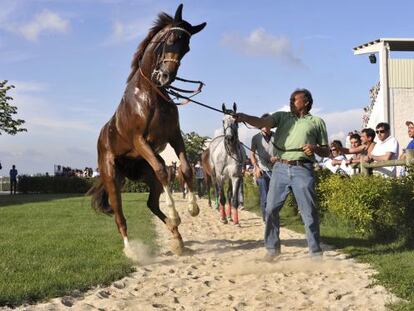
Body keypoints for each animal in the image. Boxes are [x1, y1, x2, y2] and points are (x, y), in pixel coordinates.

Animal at [89, 3, 209, 255]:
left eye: (187, 48)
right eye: (170, 40)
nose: (165, 77)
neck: (150, 94)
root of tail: (102, 138)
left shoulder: (175, 136)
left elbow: (185, 169)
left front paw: (192, 208)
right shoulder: (140, 141)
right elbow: (164, 171)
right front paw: (176, 211)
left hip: (145, 175)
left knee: (151, 203)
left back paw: (177, 237)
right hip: (112, 179)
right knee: (119, 215)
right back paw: (133, 251)